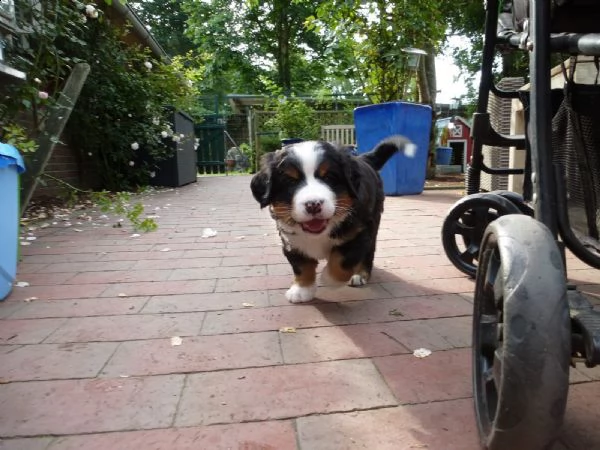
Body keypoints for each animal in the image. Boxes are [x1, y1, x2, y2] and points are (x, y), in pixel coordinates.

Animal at [251, 134, 414, 302]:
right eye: (290, 181)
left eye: (329, 177)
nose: (313, 204)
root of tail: (363, 158)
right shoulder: (291, 241)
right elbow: (301, 266)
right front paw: (302, 289)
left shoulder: (360, 233)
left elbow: (343, 260)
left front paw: (330, 279)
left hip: (374, 222)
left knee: (368, 254)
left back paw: (359, 274)